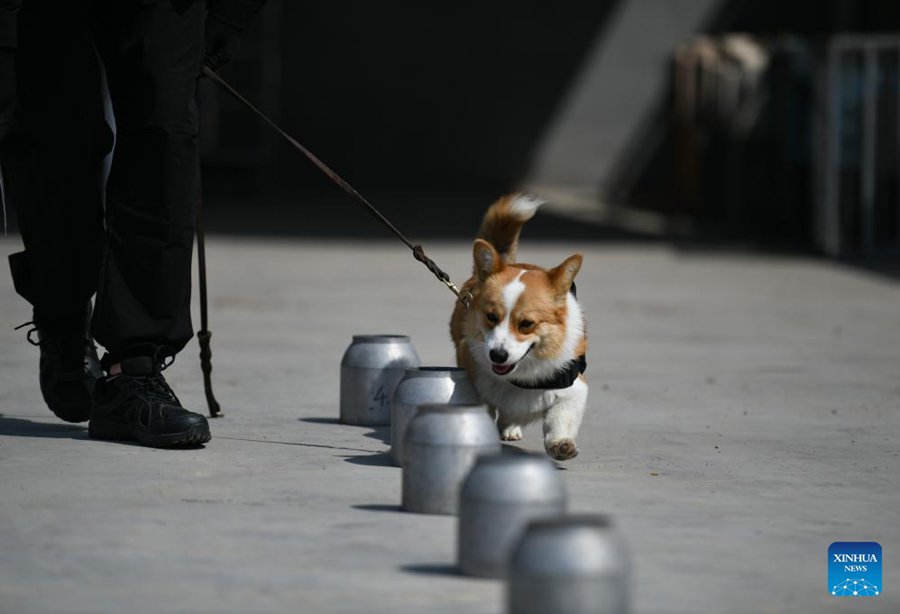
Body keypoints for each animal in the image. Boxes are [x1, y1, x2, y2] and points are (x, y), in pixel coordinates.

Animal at [450, 194, 592, 462]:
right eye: (491, 316)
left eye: (526, 324)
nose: (497, 355)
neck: (521, 376)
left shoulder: (573, 388)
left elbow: (560, 418)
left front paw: (561, 444)